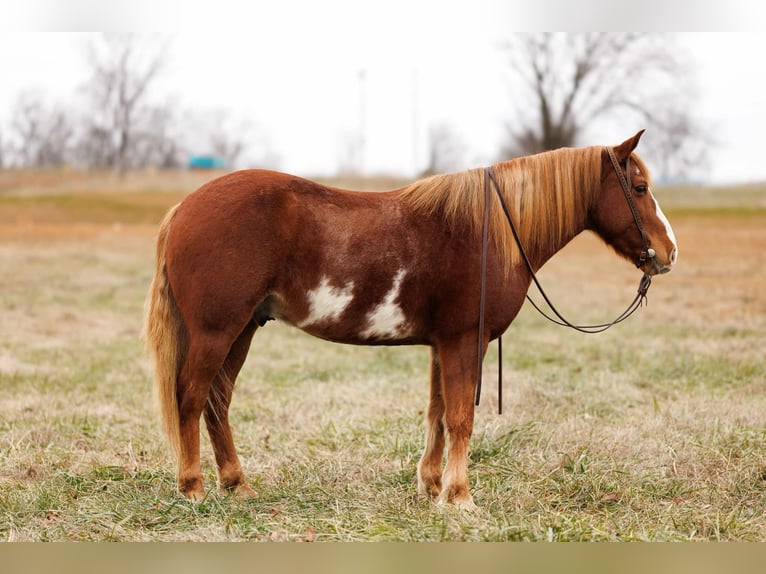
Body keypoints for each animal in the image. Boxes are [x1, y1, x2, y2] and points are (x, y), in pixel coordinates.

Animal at [143, 130, 677, 509]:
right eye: (640, 187)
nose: (668, 253)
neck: (490, 231)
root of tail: (183, 208)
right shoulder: (465, 341)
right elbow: (461, 417)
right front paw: (460, 498)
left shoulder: (444, 344)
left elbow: (438, 414)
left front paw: (432, 485)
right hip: (217, 331)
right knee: (191, 397)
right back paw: (192, 487)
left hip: (242, 330)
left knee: (218, 401)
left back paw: (236, 483)